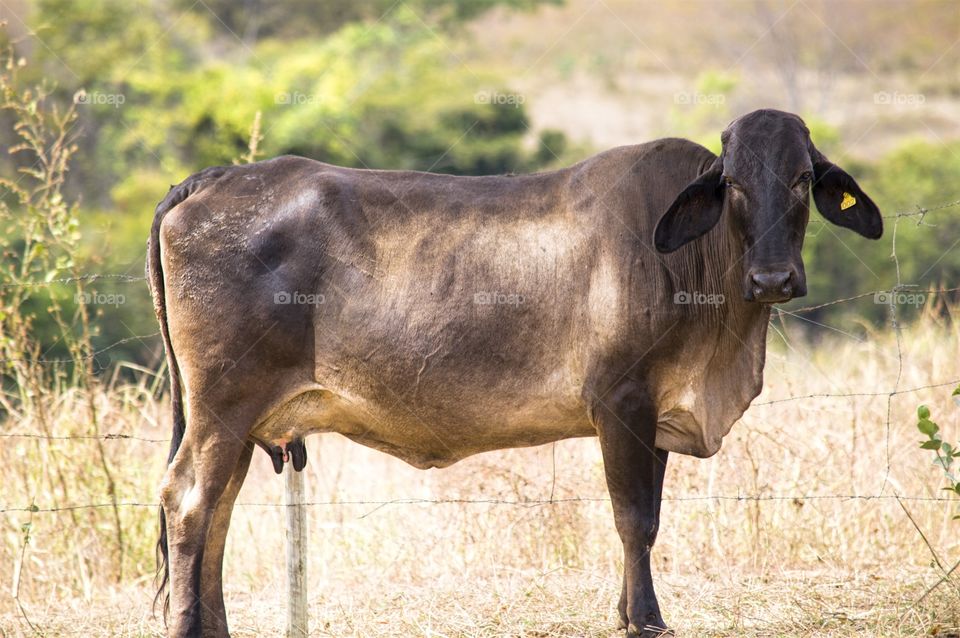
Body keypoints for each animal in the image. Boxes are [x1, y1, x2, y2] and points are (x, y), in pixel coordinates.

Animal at [148, 109, 881, 637]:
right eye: (732, 184)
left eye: (801, 180)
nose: (774, 279)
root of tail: (216, 179)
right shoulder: (621, 402)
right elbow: (634, 518)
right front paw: (645, 621)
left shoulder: (658, 414)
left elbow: (649, 518)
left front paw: (628, 613)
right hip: (221, 406)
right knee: (188, 502)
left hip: (241, 421)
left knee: (217, 512)